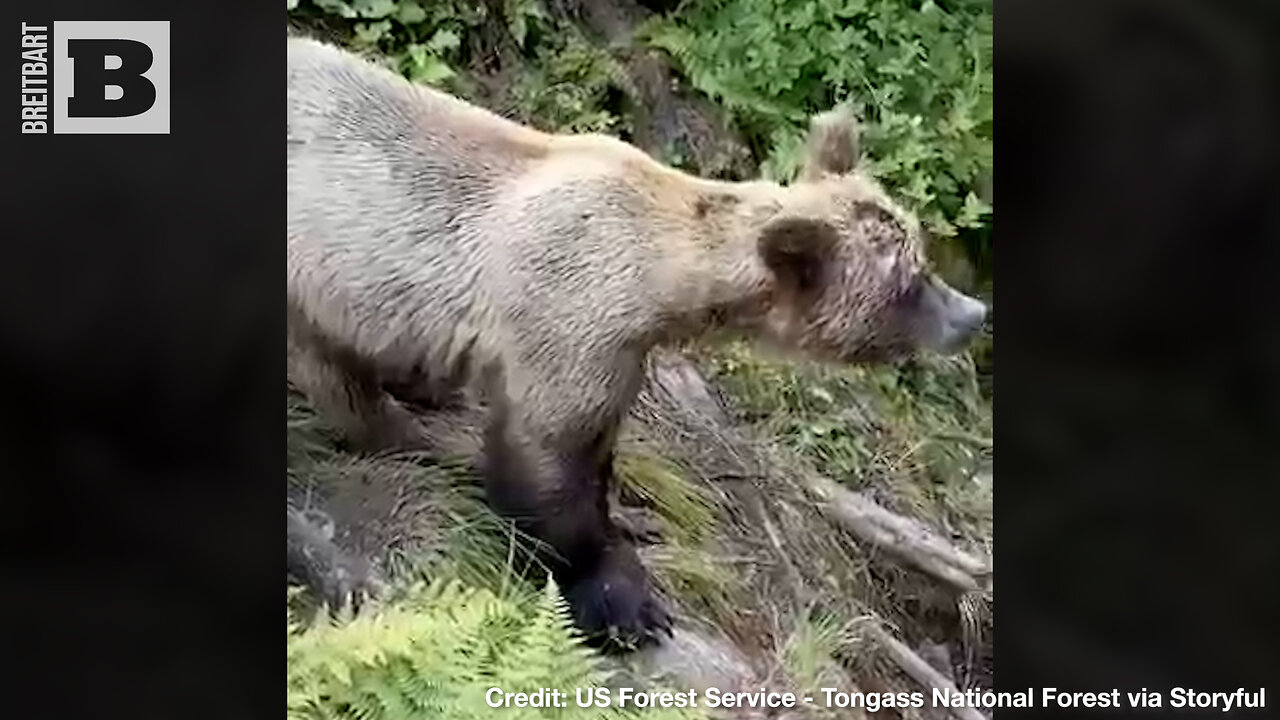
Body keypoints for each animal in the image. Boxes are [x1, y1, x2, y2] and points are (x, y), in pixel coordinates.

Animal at [288, 35, 988, 645]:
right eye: (909, 285)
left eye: (921, 255)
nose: (973, 313)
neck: (662, 286)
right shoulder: (568, 318)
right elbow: (548, 460)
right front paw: (621, 599)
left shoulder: (622, 352)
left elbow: (596, 448)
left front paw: (627, 517)